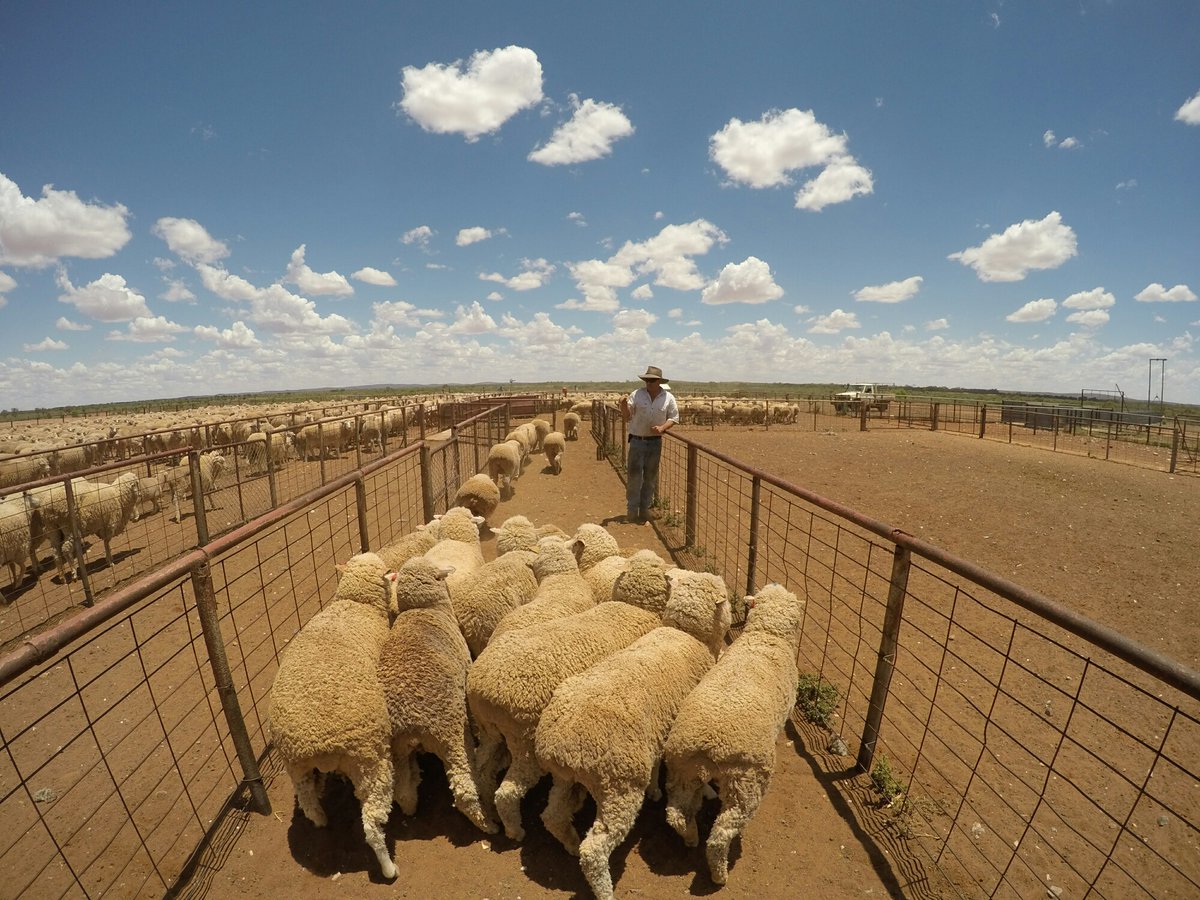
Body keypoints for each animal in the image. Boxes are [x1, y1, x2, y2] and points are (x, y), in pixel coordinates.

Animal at [266, 551, 400, 880]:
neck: (356, 603)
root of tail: (320, 744)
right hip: (371, 763)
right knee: (372, 825)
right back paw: (388, 867)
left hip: (296, 766)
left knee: (308, 801)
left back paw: (321, 819)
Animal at [377, 557, 496, 833]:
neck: (424, 610)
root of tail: (412, 724)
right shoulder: (466, 667)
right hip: (451, 735)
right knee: (464, 790)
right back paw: (487, 823)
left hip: (397, 748)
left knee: (403, 791)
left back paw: (410, 808)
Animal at [466, 539, 672, 841]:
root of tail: (483, 690)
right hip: (525, 743)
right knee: (508, 793)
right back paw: (516, 831)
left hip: (490, 729)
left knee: (481, 769)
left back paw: (489, 813)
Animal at [535, 570, 732, 899]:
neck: (688, 636)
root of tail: (564, 742)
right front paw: (704, 792)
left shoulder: (657, 734)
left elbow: (655, 767)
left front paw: (655, 790)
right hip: (619, 786)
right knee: (595, 850)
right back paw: (603, 887)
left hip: (564, 778)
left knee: (552, 816)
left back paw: (570, 843)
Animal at [663, 582, 805, 886]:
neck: (765, 636)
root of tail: (710, 743)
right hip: (746, 783)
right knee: (721, 834)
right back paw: (719, 874)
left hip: (682, 769)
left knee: (676, 814)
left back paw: (691, 837)